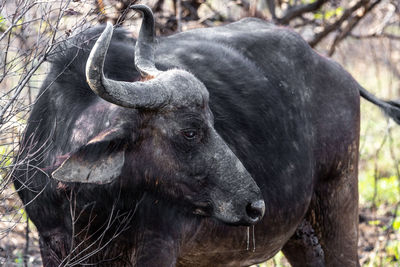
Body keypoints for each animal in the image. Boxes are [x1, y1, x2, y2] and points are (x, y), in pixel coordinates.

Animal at [12, 4, 400, 267]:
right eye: (190, 131)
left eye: (213, 122)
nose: (255, 206)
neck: (89, 203)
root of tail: (339, 73)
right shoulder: (52, 244)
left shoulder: (157, 246)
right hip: (301, 233)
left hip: (340, 197)